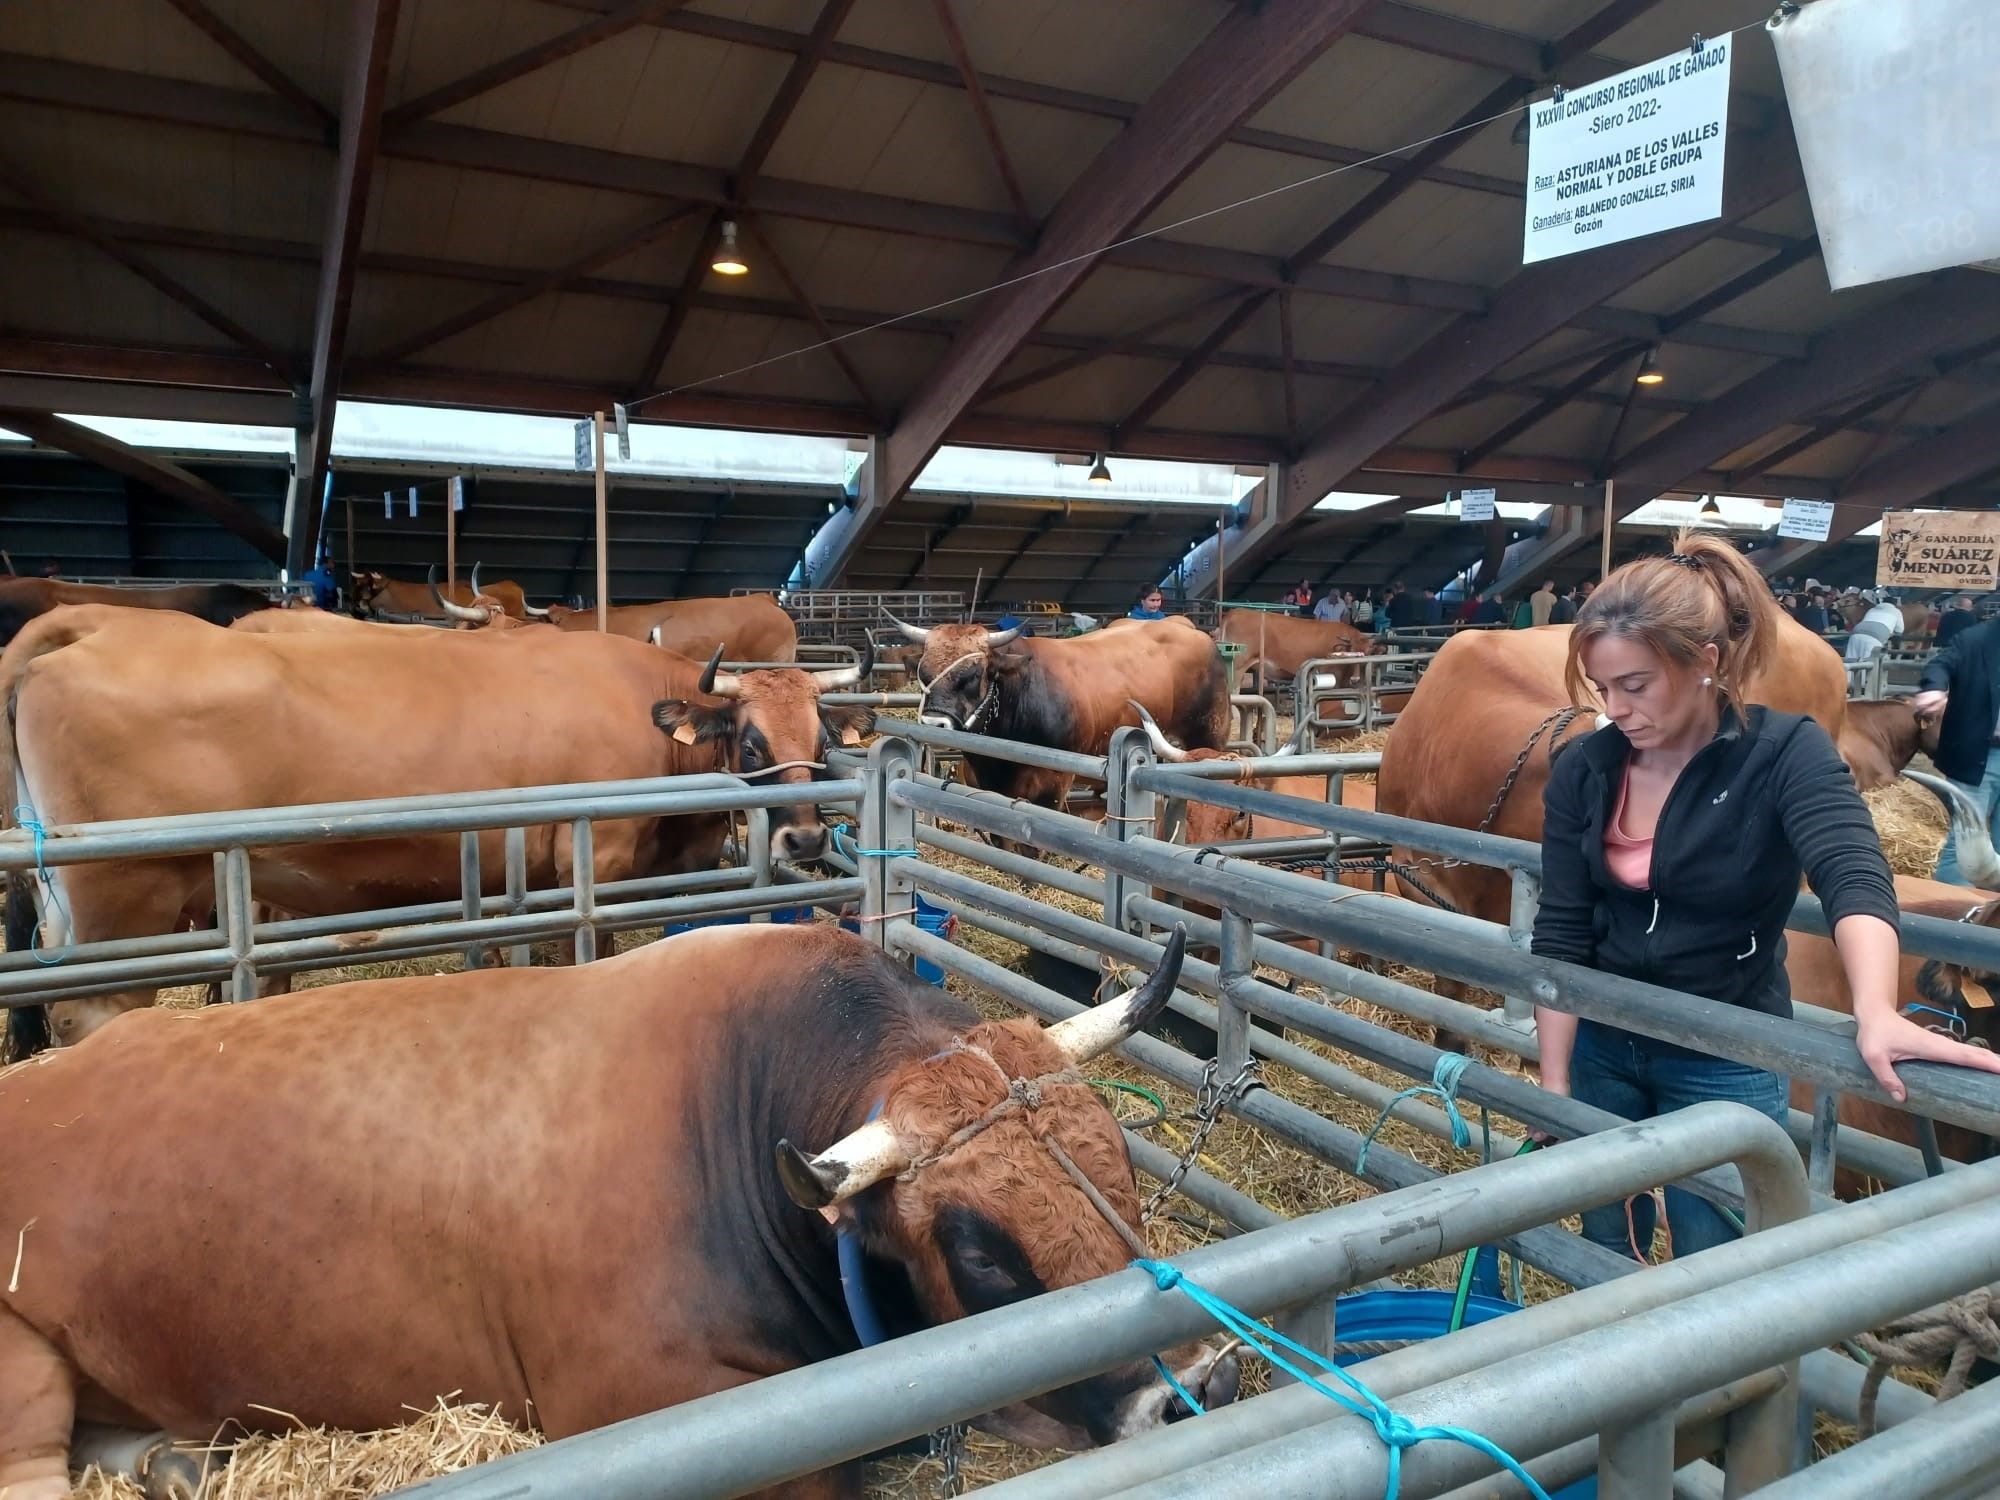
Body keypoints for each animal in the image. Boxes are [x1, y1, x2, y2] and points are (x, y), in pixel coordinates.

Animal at [3, 604, 872, 1048]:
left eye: (822, 735)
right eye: (751, 741)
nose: (804, 840)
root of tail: (102, 626)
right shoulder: (590, 863)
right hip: (126, 904)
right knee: (92, 1013)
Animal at [896, 616, 1232, 816]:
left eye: (973, 674)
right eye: (924, 673)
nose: (934, 723)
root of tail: (1186, 626)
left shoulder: (1053, 784)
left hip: (1209, 733)